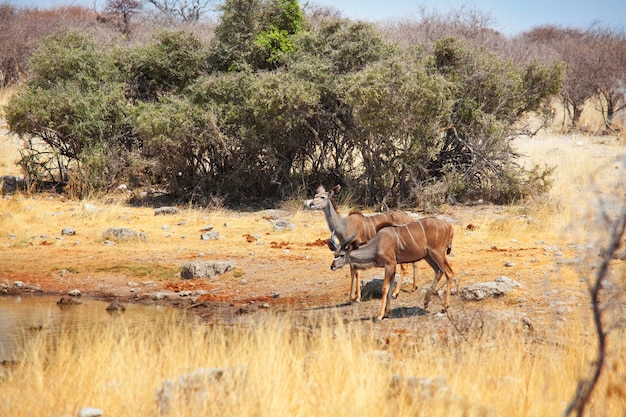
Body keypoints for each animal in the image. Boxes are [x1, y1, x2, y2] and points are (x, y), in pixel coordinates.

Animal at [326, 218, 454, 322]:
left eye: (342, 255)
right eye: (334, 254)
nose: (332, 266)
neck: (376, 245)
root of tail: (449, 226)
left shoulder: (390, 265)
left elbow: (385, 288)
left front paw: (380, 315)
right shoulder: (393, 266)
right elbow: (390, 286)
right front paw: (386, 313)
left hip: (437, 253)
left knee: (449, 272)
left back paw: (445, 307)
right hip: (428, 256)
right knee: (439, 271)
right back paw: (426, 302)